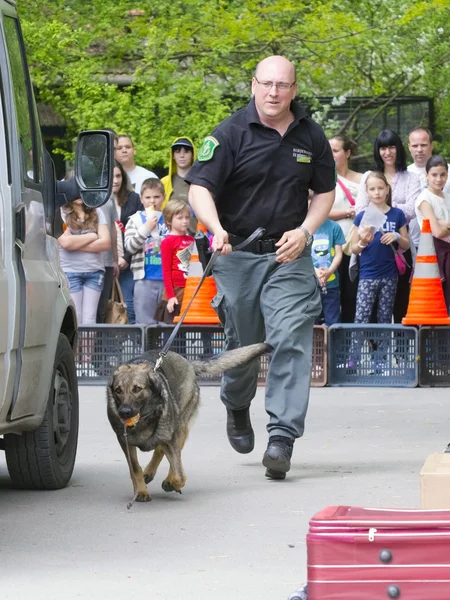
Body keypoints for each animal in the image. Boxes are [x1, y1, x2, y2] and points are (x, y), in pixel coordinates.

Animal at [106, 342, 268, 502]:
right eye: (118, 390)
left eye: (137, 389)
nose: (124, 412)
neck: (144, 417)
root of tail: (188, 363)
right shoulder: (125, 442)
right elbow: (135, 469)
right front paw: (140, 490)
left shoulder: (172, 439)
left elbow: (180, 474)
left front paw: (172, 482)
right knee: (160, 450)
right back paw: (149, 473)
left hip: (180, 428)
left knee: (166, 452)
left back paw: (168, 478)